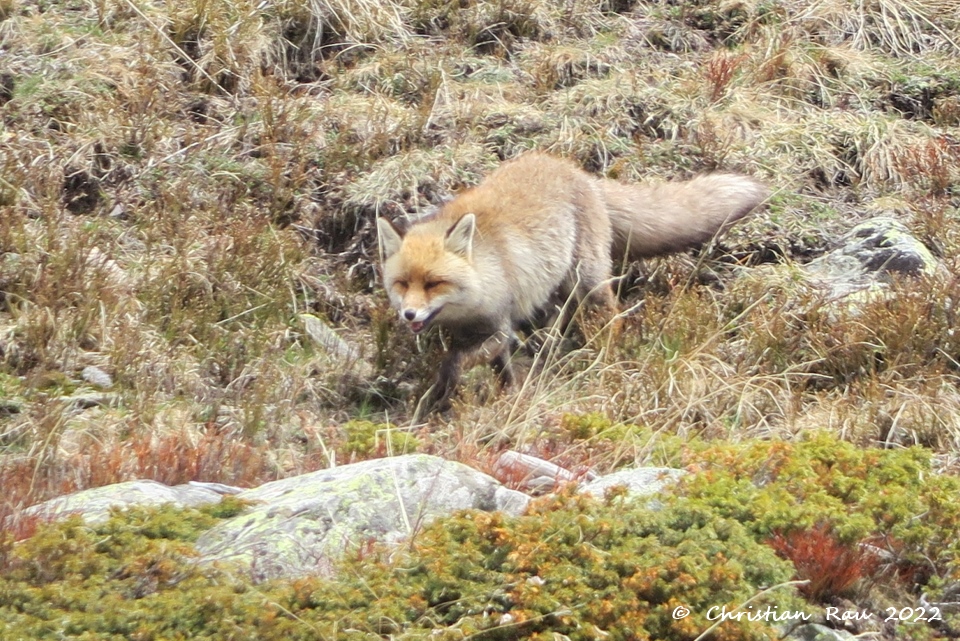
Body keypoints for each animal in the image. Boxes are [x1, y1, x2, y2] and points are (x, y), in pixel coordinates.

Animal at [378, 154, 768, 416]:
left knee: (612, 315)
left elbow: (455, 363)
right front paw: (506, 396)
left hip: (588, 280)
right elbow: (500, 371)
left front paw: (442, 395)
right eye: (402, 284)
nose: (409, 314)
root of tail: (576, 171)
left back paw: (604, 360)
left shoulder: (500, 326)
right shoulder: (481, 332)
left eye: (434, 283)